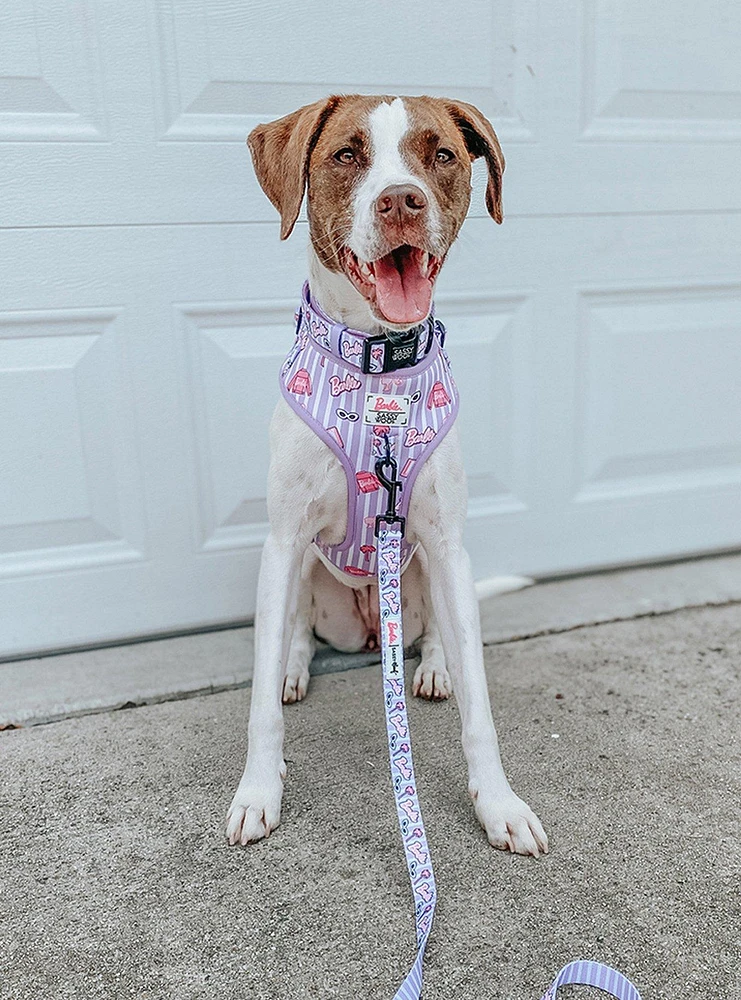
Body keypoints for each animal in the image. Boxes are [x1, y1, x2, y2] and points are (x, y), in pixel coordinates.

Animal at [228, 95, 548, 860]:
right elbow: (258, 702)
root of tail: (373, 636)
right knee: (295, 633)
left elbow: (481, 706)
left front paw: (498, 803)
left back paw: (430, 667)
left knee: (434, 633)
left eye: (442, 156)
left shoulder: (445, 540)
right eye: (347, 154)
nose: (402, 200)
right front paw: (258, 790)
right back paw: (293, 668)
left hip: (427, 566)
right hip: (304, 574)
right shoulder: (282, 542)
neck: (378, 368)